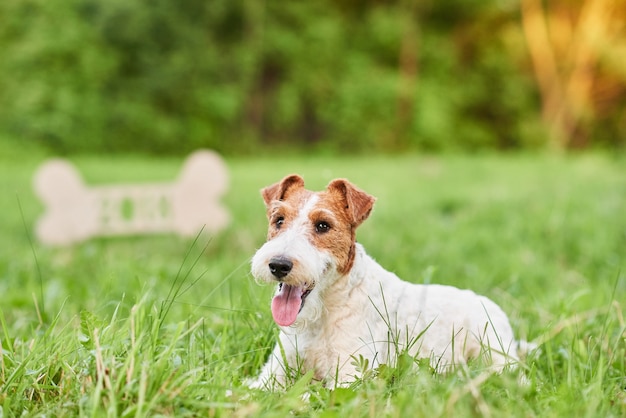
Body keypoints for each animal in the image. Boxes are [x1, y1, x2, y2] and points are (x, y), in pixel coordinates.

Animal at [251, 175, 520, 390]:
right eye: (279, 220)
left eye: (323, 225)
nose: (278, 265)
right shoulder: (274, 372)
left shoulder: (352, 375)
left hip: (495, 355)